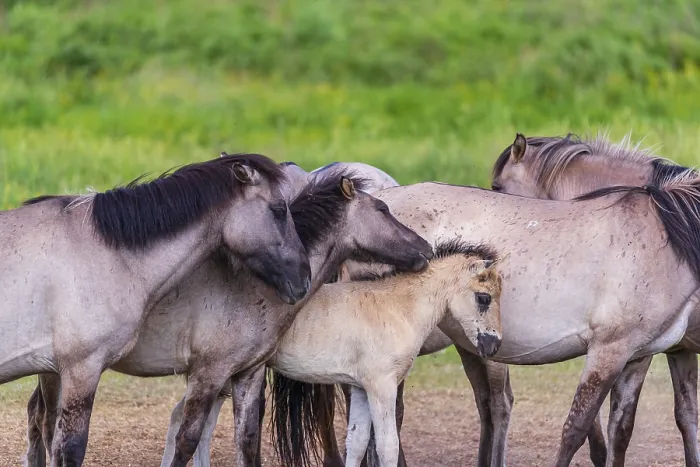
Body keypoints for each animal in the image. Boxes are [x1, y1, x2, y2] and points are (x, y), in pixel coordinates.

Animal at [24, 169, 433, 467]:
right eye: (382, 210)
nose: (426, 249)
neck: (256, 283)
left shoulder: (245, 373)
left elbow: (244, 439)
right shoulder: (210, 372)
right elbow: (189, 438)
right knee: (43, 419)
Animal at [268, 239, 503, 467]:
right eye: (484, 298)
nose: (494, 345)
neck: (396, 308)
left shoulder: (360, 387)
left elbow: (357, 442)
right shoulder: (381, 386)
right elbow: (388, 447)